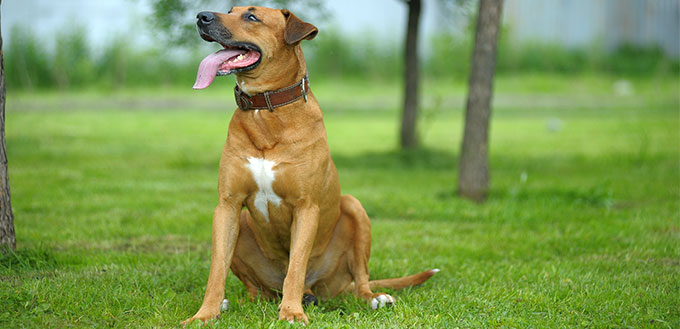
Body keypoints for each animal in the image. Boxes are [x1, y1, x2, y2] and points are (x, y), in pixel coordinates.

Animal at [182, 6, 436, 324]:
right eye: (230, 10)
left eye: (251, 17)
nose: (201, 16)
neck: (266, 110)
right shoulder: (227, 205)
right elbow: (216, 269)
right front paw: (204, 314)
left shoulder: (306, 207)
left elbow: (296, 267)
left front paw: (291, 313)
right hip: (243, 224)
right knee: (256, 291)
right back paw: (238, 303)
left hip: (353, 209)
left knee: (360, 280)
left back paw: (374, 298)